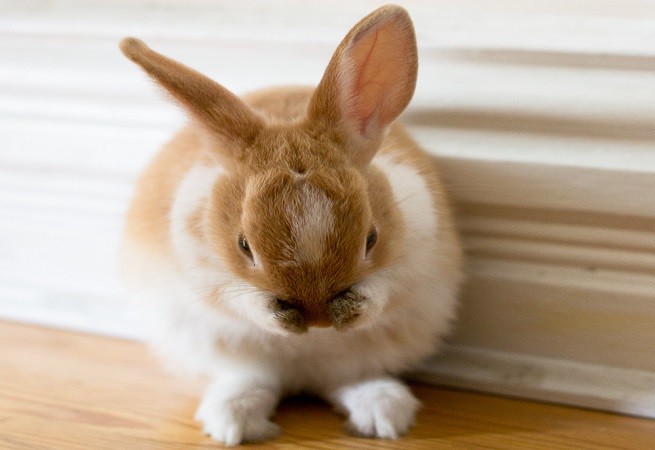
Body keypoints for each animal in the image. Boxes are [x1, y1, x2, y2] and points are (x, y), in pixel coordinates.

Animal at [119, 4, 463, 446]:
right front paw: (279, 317)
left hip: (358, 359)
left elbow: (385, 288)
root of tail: (303, 379)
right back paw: (233, 423)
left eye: (371, 239)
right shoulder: (204, 275)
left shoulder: (415, 260)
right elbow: (240, 300)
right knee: (254, 380)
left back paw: (382, 414)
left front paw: (353, 308)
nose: (317, 320)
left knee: (348, 380)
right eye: (244, 245)